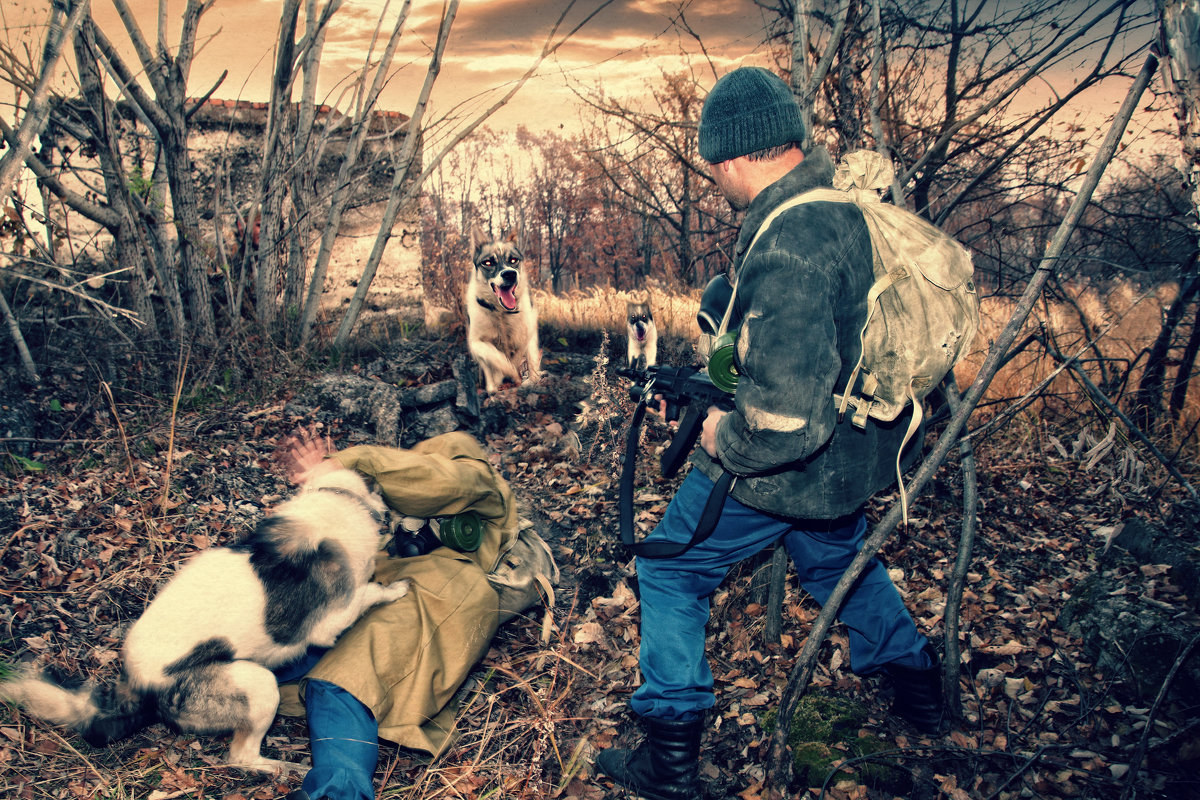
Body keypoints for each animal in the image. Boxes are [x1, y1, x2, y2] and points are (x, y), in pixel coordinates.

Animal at [0, 470, 410, 777]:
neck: (341, 498)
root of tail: (138, 686)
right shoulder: (331, 620)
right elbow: (371, 592)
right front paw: (397, 589)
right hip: (258, 686)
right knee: (241, 756)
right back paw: (280, 768)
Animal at [463, 224, 544, 393]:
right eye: (488, 263)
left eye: (513, 260)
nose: (509, 274)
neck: (502, 312)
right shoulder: (475, 343)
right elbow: (494, 355)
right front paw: (505, 373)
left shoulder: (528, 334)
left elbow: (528, 357)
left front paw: (530, 379)